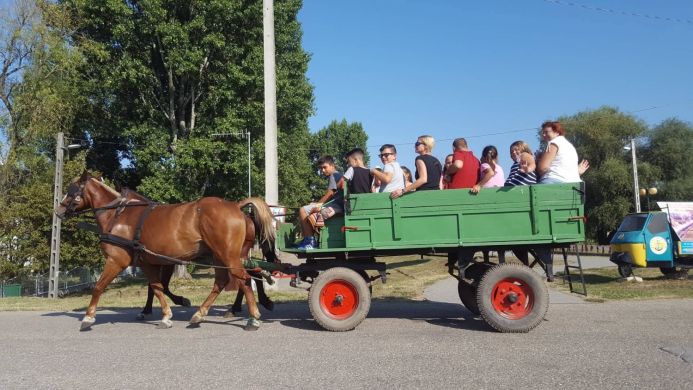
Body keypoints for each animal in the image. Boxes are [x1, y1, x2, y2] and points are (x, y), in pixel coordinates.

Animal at [55, 172, 276, 330]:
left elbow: (99, 286)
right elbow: (157, 287)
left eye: (72, 189)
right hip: (224, 256)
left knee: (244, 279)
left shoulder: (116, 260)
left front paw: (88, 316)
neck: (119, 215)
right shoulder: (148, 262)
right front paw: (166, 314)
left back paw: (253, 317)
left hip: (227, 255)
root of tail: (236, 205)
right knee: (230, 280)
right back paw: (201, 314)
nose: (58, 210)